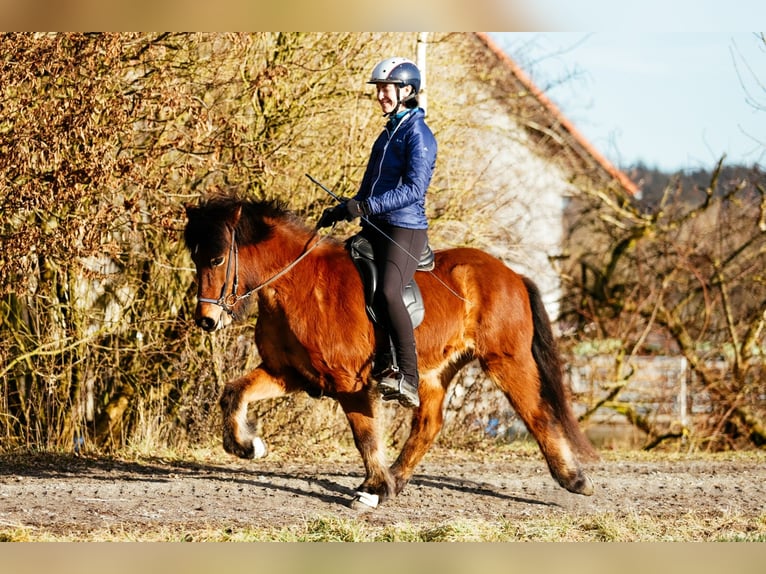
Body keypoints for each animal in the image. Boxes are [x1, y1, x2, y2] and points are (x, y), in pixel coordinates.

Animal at [184, 197, 600, 508]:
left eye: (218, 259)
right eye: (196, 258)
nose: (206, 320)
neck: (299, 285)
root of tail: (511, 275)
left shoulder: (349, 382)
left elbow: (365, 435)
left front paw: (372, 488)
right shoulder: (287, 373)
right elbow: (234, 392)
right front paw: (246, 446)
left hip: (505, 360)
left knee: (537, 414)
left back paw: (574, 480)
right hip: (434, 371)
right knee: (429, 424)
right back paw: (397, 480)